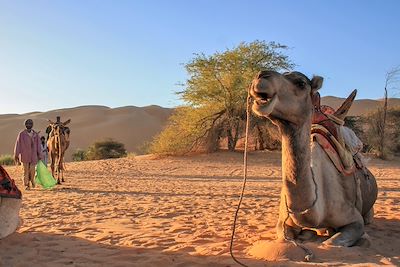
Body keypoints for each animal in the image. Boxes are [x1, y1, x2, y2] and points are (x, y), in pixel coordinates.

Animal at [250, 70, 378, 247]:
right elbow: (285, 236)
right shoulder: (283, 222)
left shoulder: (354, 219)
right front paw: (308, 234)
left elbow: (331, 243)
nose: (261, 76)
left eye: (301, 83)